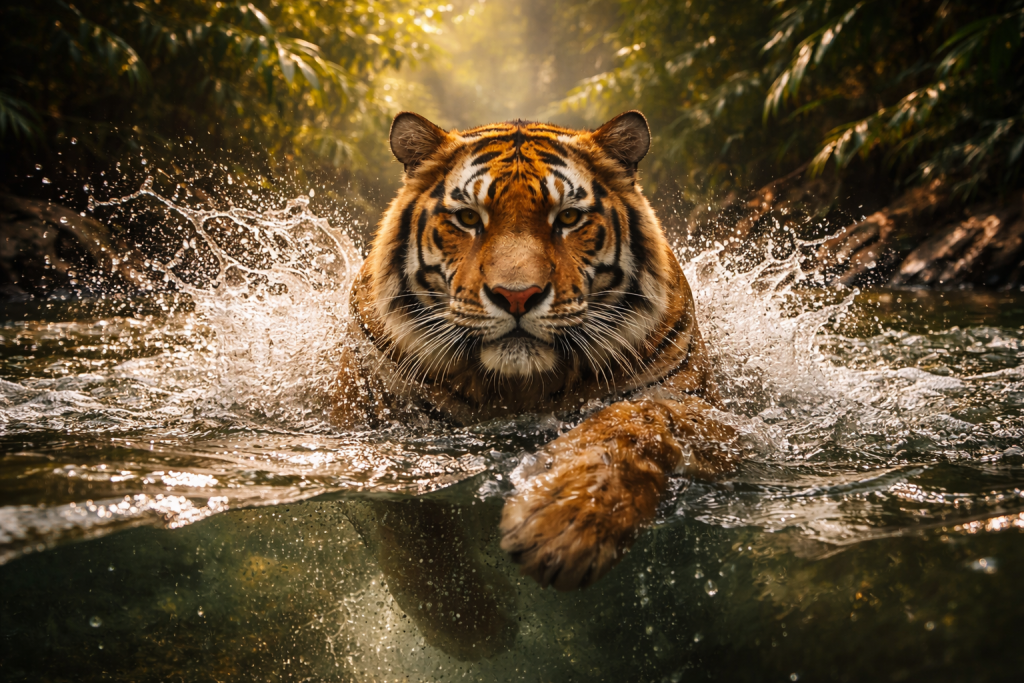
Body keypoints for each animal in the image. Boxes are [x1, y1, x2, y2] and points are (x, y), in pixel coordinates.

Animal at [330, 110, 740, 660]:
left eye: (567, 218)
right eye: (468, 219)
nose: (517, 295)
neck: (519, 388)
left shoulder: (719, 419)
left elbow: (638, 419)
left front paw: (564, 525)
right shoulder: (377, 445)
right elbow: (415, 540)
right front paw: (476, 626)